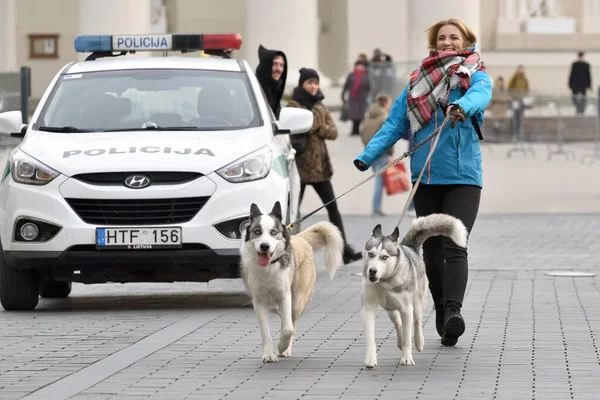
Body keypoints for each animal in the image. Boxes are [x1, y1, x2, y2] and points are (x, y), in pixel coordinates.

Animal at [239, 202, 342, 360]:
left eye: (273, 232)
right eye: (257, 232)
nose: (264, 246)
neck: (269, 267)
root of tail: (300, 238)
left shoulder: (285, 296)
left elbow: (288, 328)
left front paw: (282, 346)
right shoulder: (259, 301)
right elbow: (265, 332)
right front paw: (269, 355)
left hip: (297, 300)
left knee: (291, 323)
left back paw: (286, 349)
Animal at [360, 214, 468, 368]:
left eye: (384, 257)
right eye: (370, 254)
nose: (372, 271)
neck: (385, 282)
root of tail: (410, 247)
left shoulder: (406, 309)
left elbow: (407, 337)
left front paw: (406, 358)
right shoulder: (368, 308)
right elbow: (370, 336)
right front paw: (370, 359)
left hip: (417, 303)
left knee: (417, 320)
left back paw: (419, 341)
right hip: (391, 309)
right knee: (398, 323)